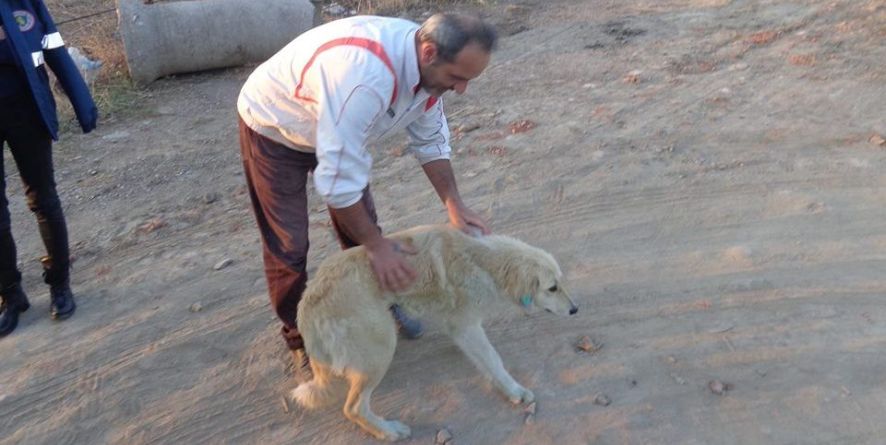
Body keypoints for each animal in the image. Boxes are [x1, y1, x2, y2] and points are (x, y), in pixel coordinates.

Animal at [294, 225, 580, 440]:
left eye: (560, 282)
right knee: (353, 408)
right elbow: (493, 361)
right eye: (552, 288)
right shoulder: (466, 325)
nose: (575, 309)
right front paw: (515, 391)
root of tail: (307, 305)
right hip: (380, 349)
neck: (482, 261)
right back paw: (390, 432)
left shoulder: (459, 324)